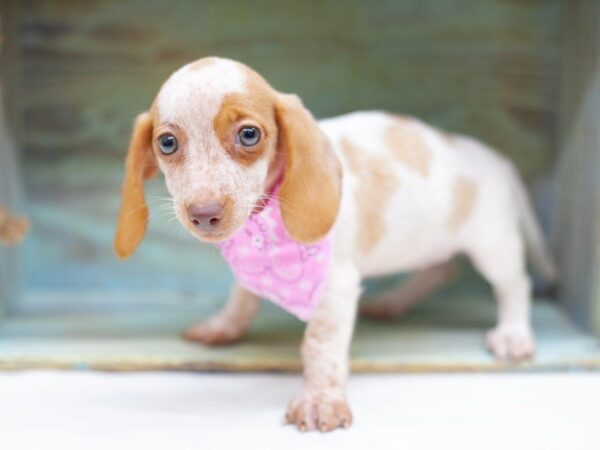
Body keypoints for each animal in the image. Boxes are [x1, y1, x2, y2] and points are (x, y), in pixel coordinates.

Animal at [116, 57, 556, 432]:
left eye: (249, 134)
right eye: (167, 143)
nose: (204, 213)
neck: (263, 225)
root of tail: (498, 160)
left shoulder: (336, 287)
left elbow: (319, 346)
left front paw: (319, 400)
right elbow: (242, 295)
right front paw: (225, 326)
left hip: (493, 245)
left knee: (515, 285)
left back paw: (513, 334)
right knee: (439, 270)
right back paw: (394, 302)